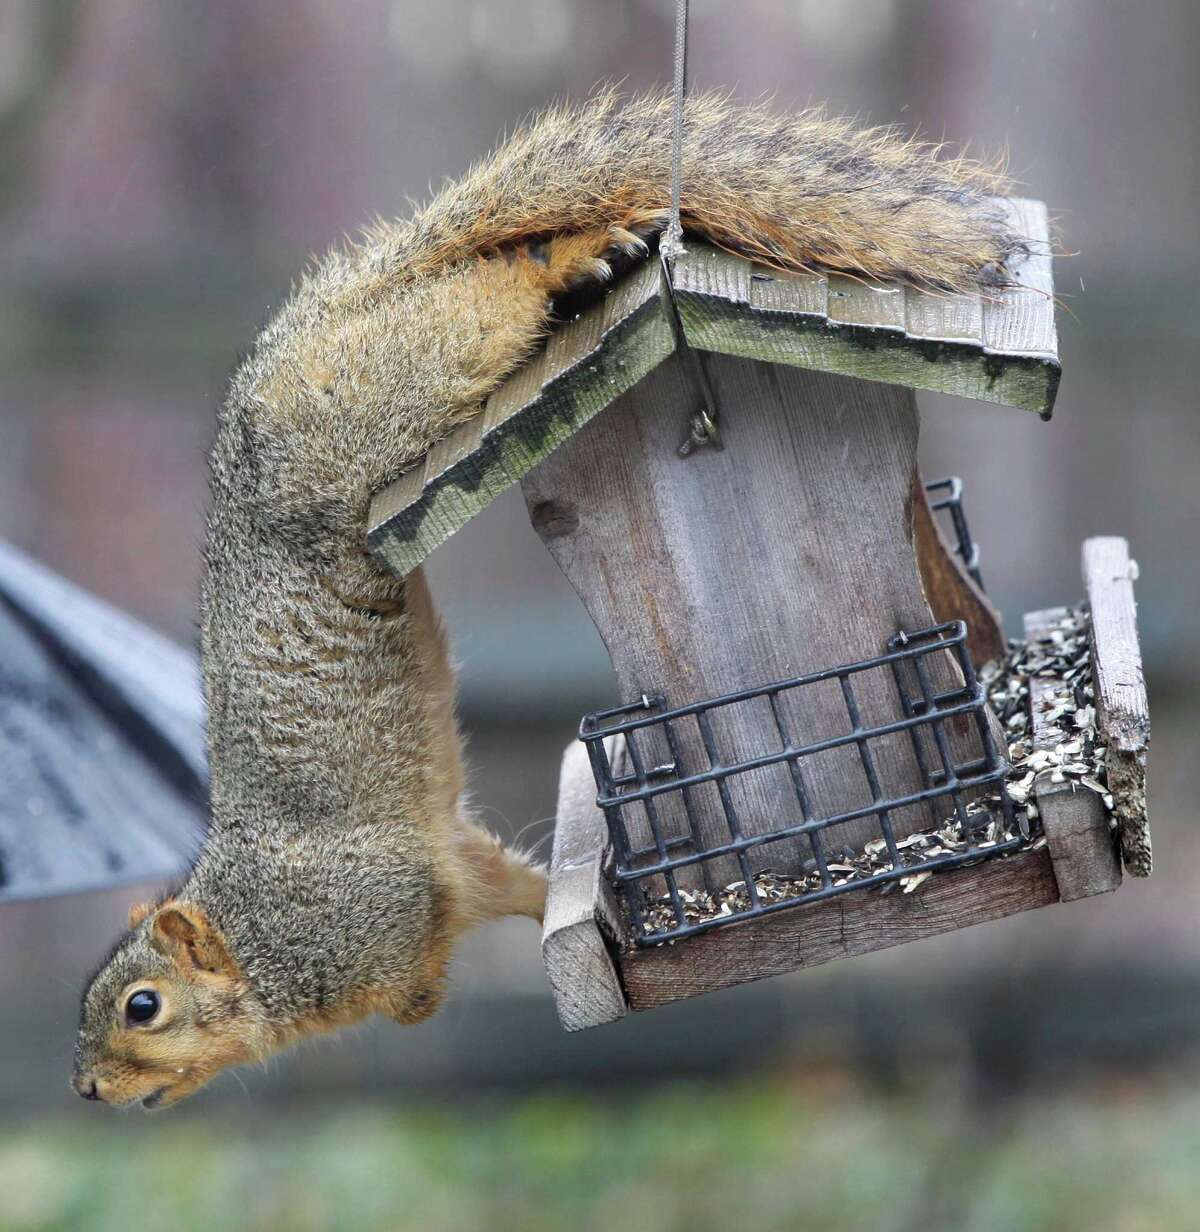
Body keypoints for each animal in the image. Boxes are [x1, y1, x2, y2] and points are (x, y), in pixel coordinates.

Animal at [73, 88, 1023, 1109]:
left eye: (142, 1007)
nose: (85, 1088)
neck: (254, 937)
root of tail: (265, 390)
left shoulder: (371, 909)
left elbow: (414, 973)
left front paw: (423, 1000)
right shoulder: (468, 865)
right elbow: (520, 889)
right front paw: (582, 918)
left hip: (381, 403)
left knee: (493, 290)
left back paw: (576, 256)